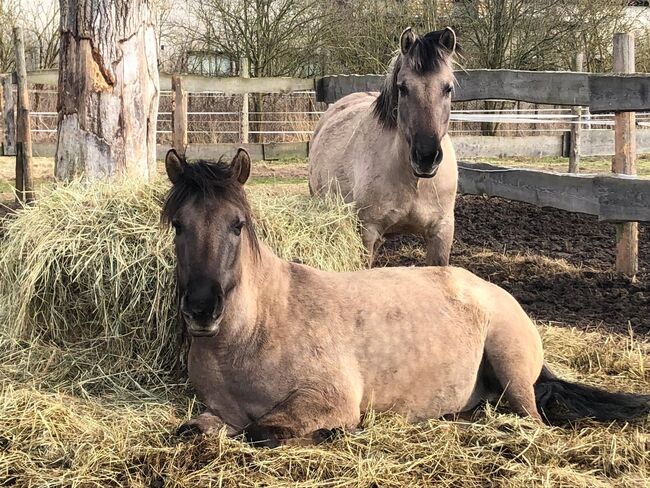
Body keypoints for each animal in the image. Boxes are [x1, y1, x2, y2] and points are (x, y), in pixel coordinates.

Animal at [162, 148, 648, 446]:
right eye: (178, 225)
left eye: (237, 224)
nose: (202, 310)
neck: (256, 332)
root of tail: (495, 292)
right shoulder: (218, 412)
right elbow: (195, 430)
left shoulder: (330, 399)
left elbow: (262, 431)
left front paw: (338, 435)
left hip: (511, 368)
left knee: (531, 418)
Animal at [308, 27, 456, 264]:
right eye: (403, 88)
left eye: (448, 88)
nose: (426, 157)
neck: (413, 181)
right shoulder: (367, 231)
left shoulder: (441, 233)